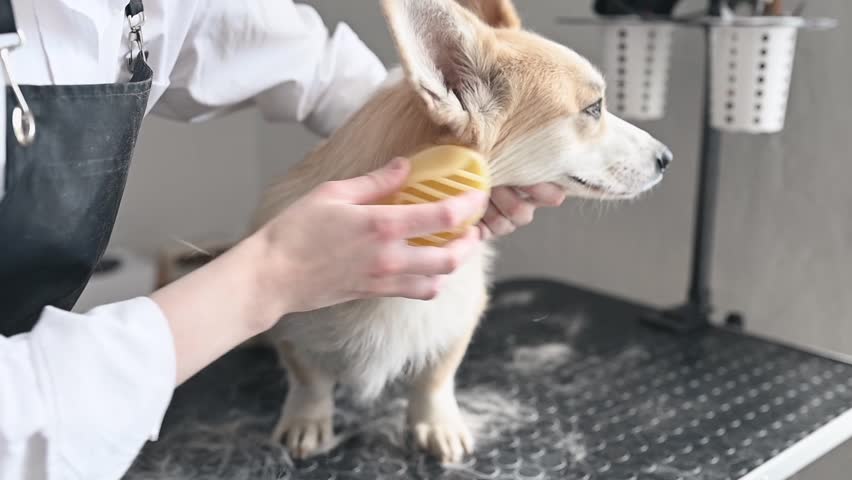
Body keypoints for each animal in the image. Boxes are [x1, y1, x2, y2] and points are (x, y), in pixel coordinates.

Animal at [251, 0, 672, 464]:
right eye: (594, 108)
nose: (667, 158)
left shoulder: (457, 321)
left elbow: (435, 378)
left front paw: (436, 425)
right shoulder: (292, 329)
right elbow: (310, 380)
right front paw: (307, 420)